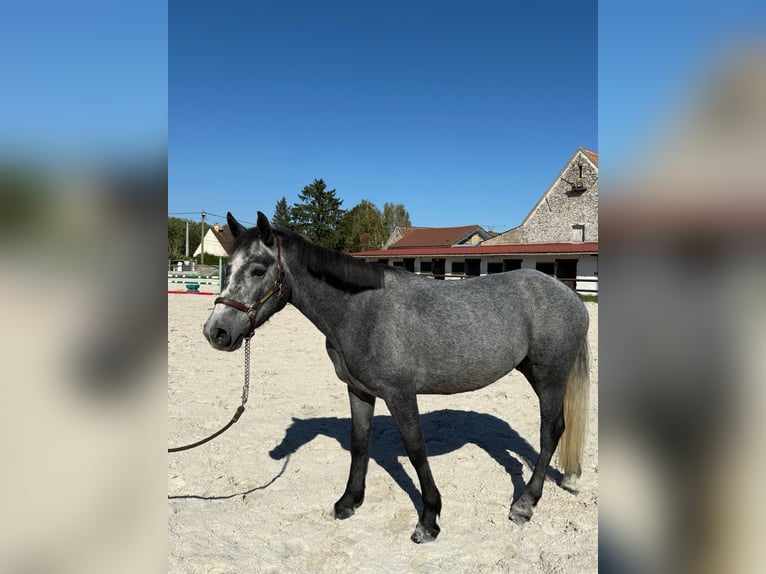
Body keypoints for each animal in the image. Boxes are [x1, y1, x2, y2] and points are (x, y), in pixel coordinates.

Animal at [203, 212, 590, 544]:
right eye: (228, 269)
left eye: (257, 270)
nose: (216, 332)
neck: (360, 312)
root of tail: (569, 294)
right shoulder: (359, 391)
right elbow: (360, 443)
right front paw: (349, 502)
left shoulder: (400, 394)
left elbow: (416, 450)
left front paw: (429, 520)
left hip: (549, 378)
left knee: (550, 432)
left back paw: (524, 505)